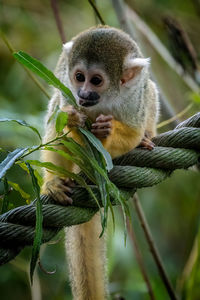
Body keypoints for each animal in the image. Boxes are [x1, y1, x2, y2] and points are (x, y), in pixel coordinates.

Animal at [42, 26, 159, 300]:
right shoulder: (66, 87)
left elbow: (133, 132)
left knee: (150, 90)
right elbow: (61, 125)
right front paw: (73, 121)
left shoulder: (133, 98)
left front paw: (110, 131)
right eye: (79, 77)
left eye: (95, 80)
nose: (83, 93)